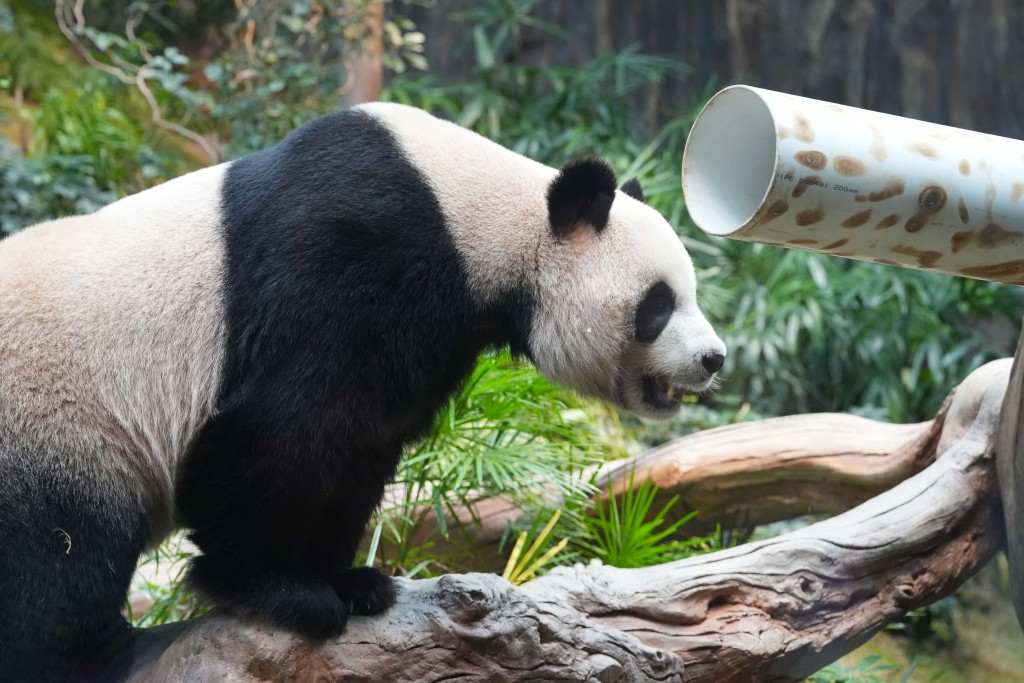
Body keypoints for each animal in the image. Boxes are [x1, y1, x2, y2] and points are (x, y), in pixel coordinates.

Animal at [0, 101, 729, 679]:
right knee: (60, 556)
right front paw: (273, 586)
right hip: (56, 421)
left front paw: (348, 580)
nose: (713, 358)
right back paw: (90, 652)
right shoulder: (349, 254)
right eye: (658, 303)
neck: (477, 219)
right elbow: (284, 428)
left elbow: (360, 446)